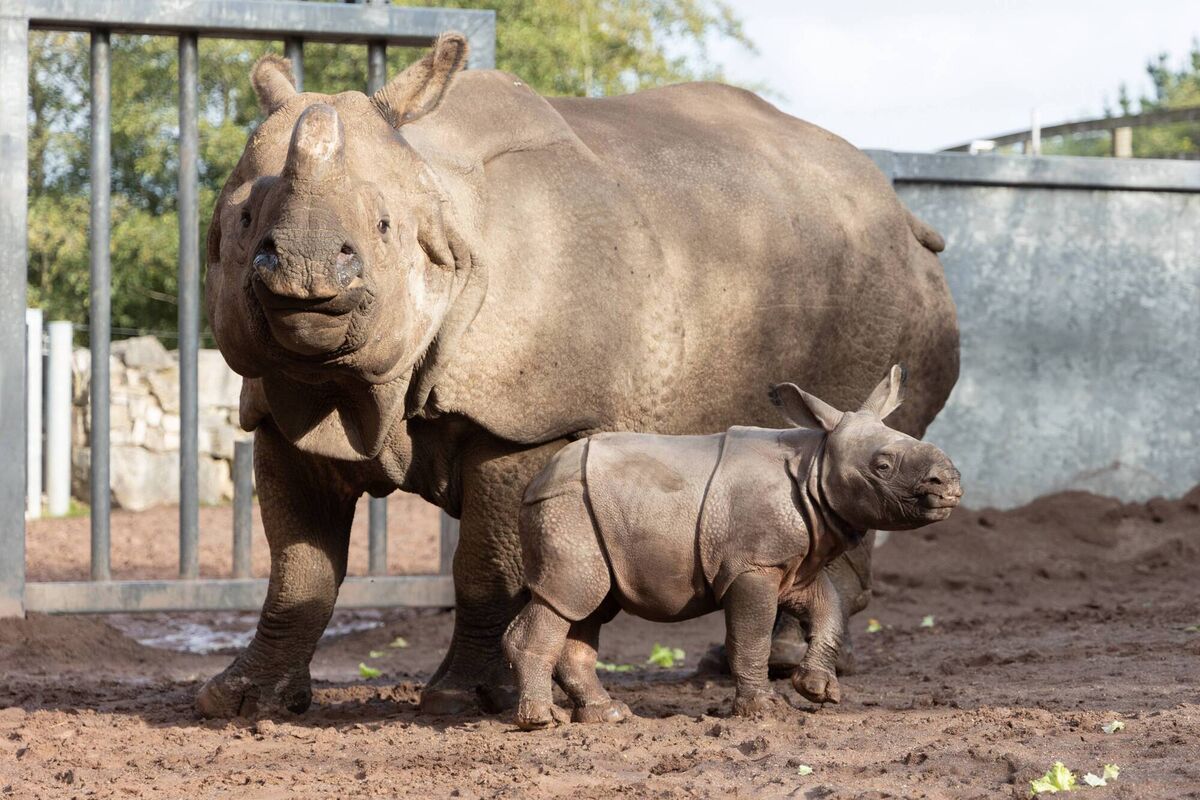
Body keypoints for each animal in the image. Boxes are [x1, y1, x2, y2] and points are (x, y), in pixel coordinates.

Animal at [505, 366, 962, 728]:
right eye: (882, 466)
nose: (951, 483)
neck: (816, 462)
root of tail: (537, 479)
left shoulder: (793, 564)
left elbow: (828, 610)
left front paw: (817, 690)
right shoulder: (753, 565)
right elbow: (752, 634)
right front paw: (765, 711)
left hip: (591, 513)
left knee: (588, 605)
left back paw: (609, 715)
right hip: (569, 507)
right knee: (567, 597)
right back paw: (543, 721)